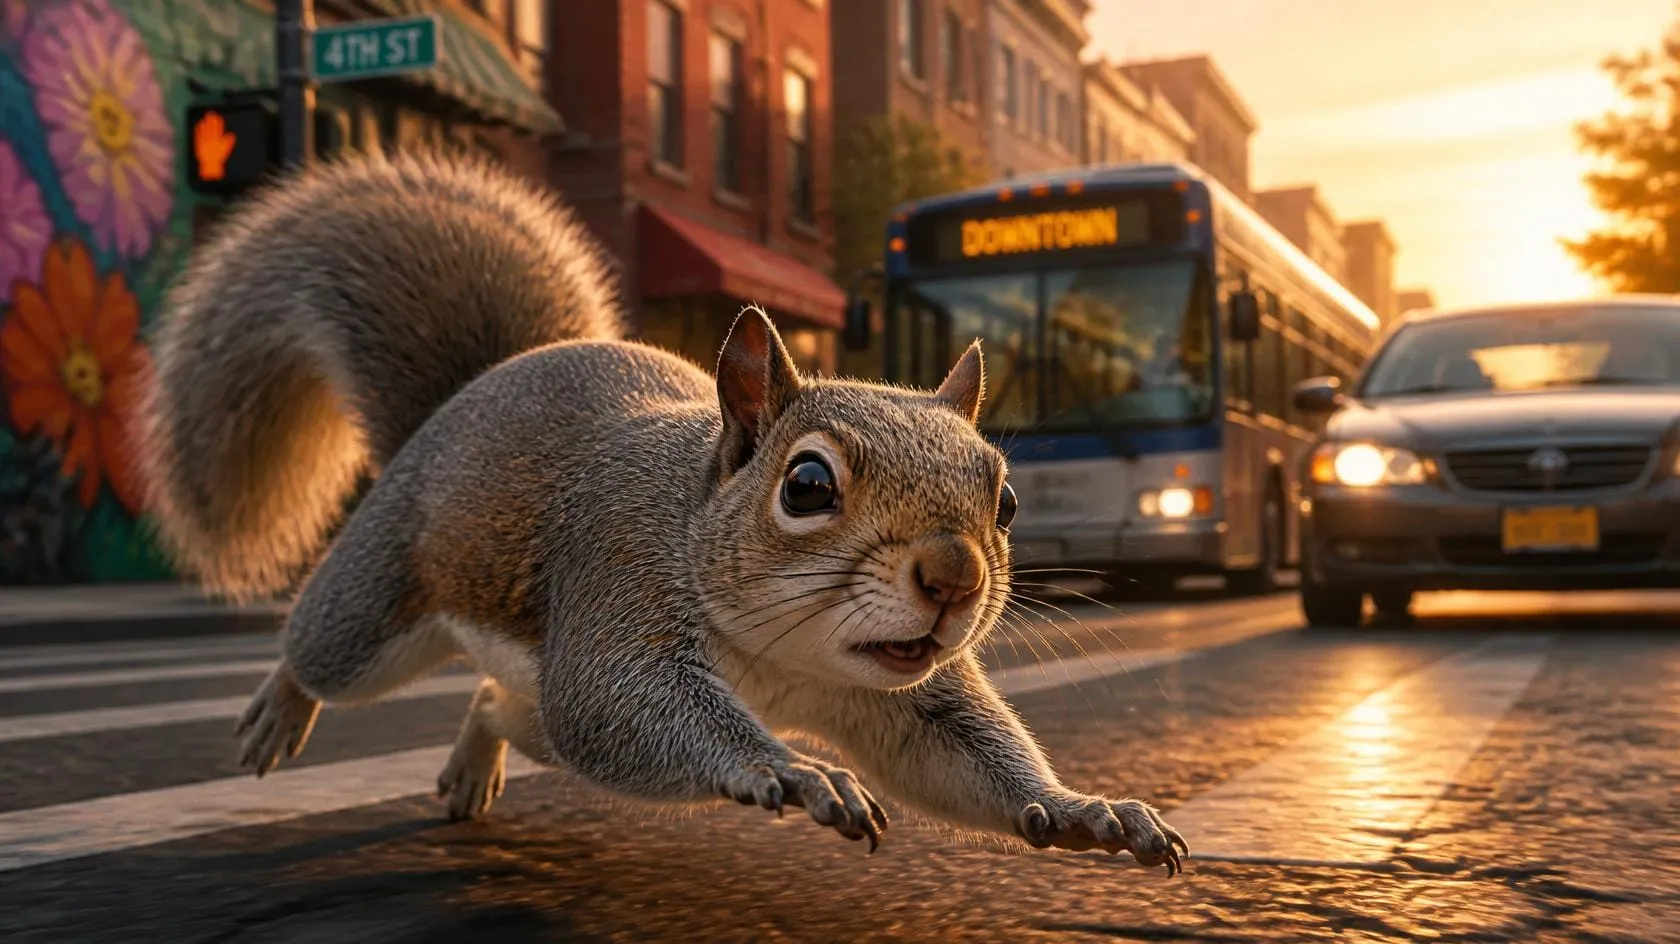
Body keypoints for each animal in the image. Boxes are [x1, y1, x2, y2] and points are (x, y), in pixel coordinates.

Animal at [135, 149, 1187, 874]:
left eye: (1003, 498)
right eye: (807, 487)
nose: (955, 578)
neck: (779, 658)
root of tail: (470, 394)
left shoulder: (908, 700)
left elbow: (968, 760)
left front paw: (1087, 810)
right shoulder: (619, 574)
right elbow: (625, 702)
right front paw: (794, 772)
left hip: (542, 722)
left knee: (503, 706)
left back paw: (472, 764)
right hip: (382, 590)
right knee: (329, 647)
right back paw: (280, 709)